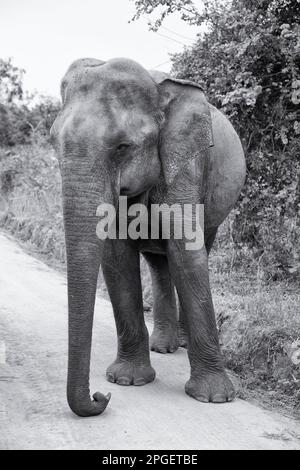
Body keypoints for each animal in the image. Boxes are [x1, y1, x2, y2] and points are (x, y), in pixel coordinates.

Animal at [49, 57, 246, 416]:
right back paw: (163, 347)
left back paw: (180, 344)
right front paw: (127, 381)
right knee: (158, 262)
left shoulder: (187, 163)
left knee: (194, 249)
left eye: (123, 147)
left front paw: (214, 398)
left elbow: (187, 253)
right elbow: (117, 258)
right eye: (55, 144)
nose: (100, 396)